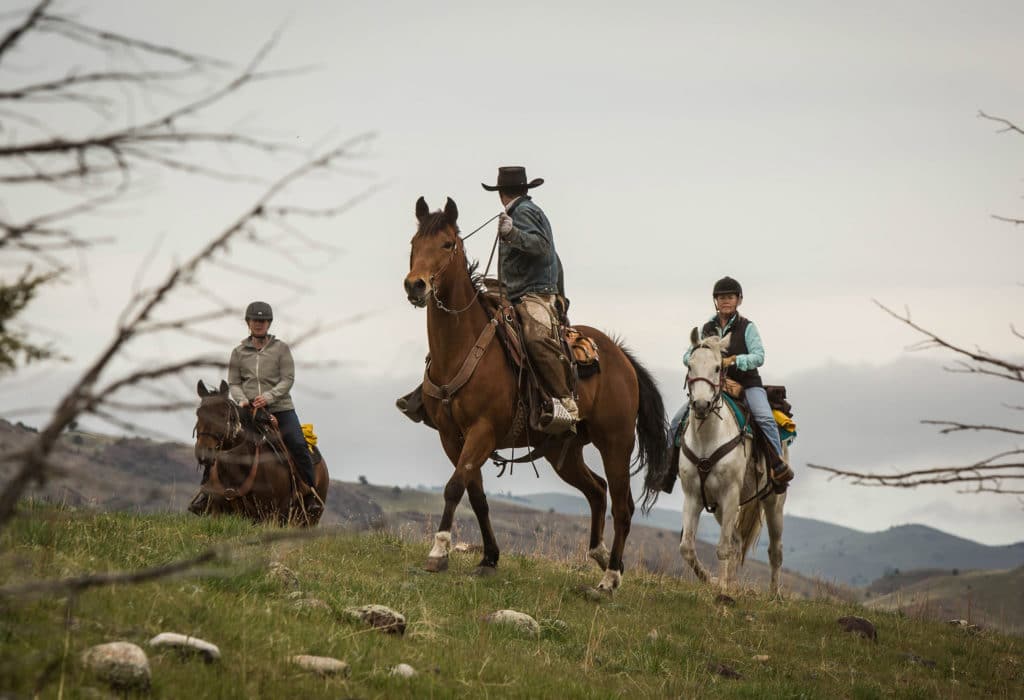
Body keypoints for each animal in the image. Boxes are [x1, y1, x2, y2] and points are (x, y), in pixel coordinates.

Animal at [403, 196, 667, 589]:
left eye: (447, 244)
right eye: (414, 244)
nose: (415, 286)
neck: (461, 347)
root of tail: (622, 358)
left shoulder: (482, 432)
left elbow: (454, 487)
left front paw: (438, 553)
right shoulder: (451, 437)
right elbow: (475, 494)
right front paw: (489, 557)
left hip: (616, 442)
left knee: (623, 504)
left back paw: (610, 577)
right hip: (563, 450)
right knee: (597, 490)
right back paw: (600, 554)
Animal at [675, 327, 786, 597]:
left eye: (717, 367)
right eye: (690, 365)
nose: (701, 405)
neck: (708, 437)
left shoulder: (730, 494)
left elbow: (723, 548)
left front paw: (722, 590)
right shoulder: (693, 496)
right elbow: (687, 548)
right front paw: (714, 581)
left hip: (773, 502)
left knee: (775, 551)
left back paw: (774, 595)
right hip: (719, 506)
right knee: (736, 540)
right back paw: (732, 583)